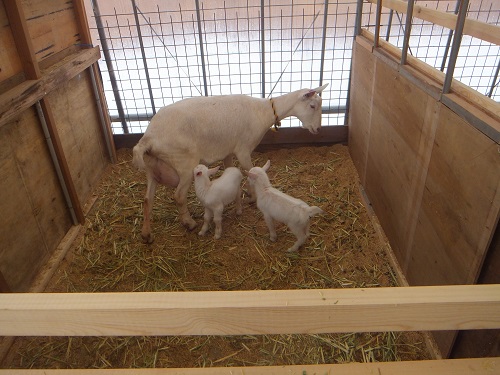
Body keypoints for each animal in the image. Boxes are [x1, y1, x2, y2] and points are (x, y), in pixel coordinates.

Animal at [133, 83, 328, 242]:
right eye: (312, 105)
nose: (318, 129)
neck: (263, 111)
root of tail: (148, 139)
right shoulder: (243, 149)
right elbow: (250, 171)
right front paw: (252, 197)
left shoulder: (227, 150)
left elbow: (231, 169)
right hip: (183, 162)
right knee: (179, 196)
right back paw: (189, 223)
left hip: (152, 167)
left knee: (147, 199)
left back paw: (146, 234)